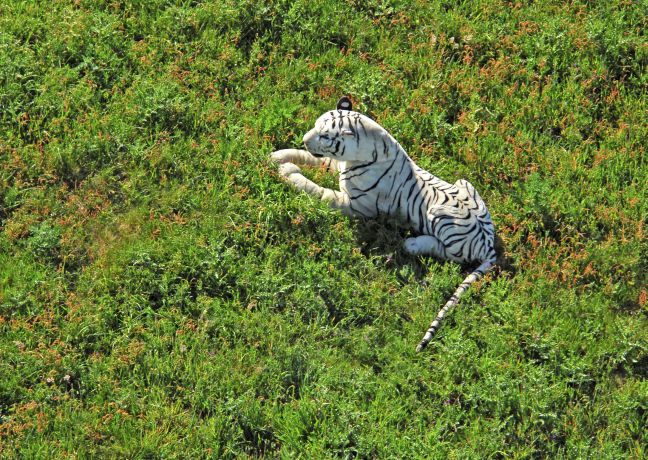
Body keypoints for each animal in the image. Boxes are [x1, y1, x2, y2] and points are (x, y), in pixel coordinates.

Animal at [270, 96, 496, 348]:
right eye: (316, 126)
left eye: (326, 136)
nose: (304, 139)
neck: (358, 156)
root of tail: (490, 245)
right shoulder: (337, 165)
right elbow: (306, 156)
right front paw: (278, 156)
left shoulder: (354, 205)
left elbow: (319, 191)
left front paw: (288, 172)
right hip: (464, 182)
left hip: (440, 215)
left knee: (449, 254)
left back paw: (412, 244)